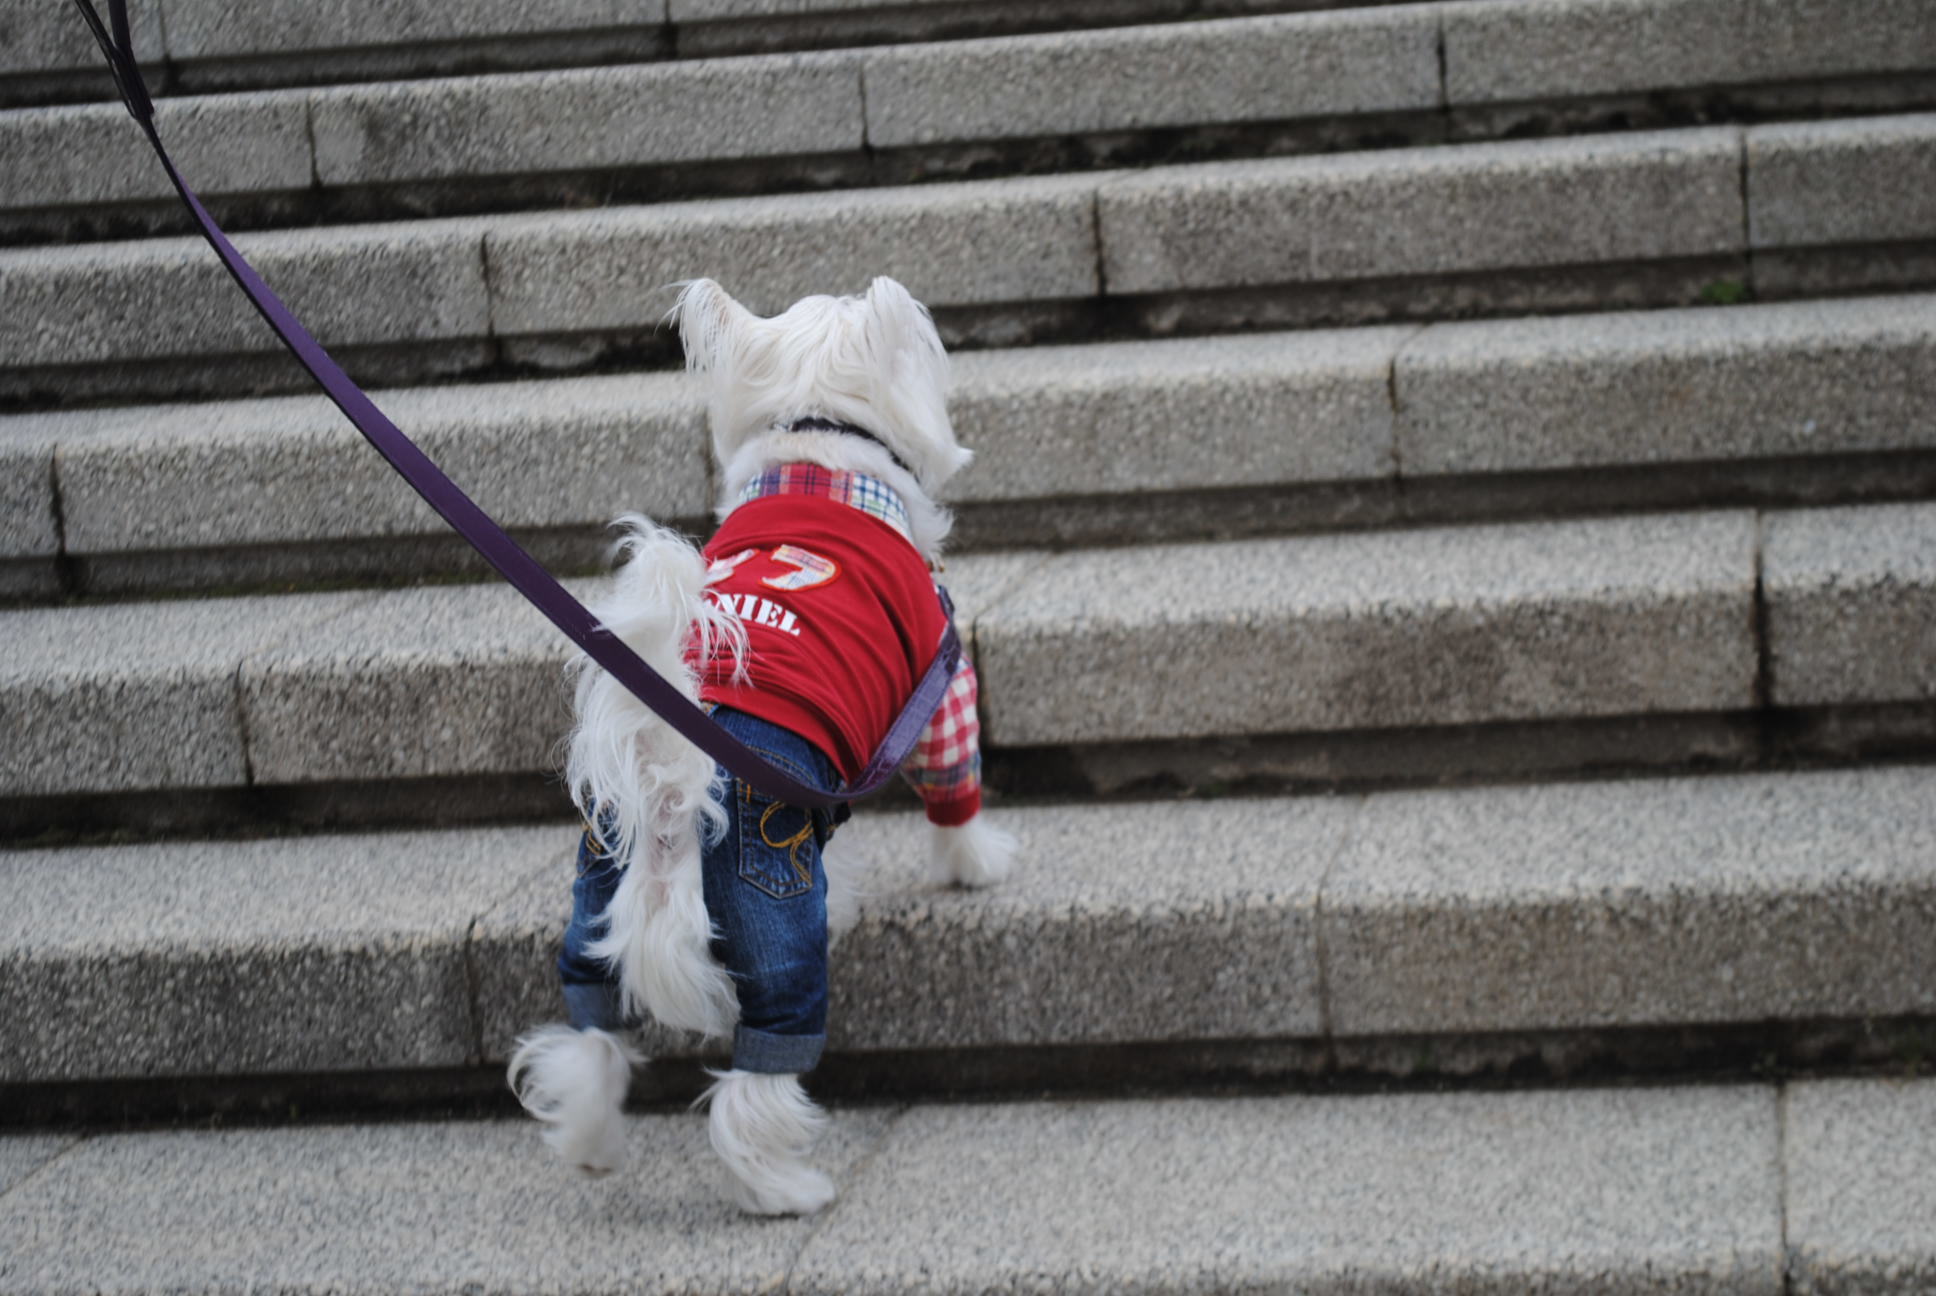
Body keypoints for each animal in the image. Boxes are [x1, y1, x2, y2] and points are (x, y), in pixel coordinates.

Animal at [507, 275, 1014, 1216]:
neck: (816, 447)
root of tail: (675, 787)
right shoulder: (941, 672)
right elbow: (954, 780)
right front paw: (977, 863)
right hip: (768, 909)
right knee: (756, 1084)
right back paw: (787, 1190)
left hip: (595, 892)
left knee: (589, 1038)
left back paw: (591, 1146)